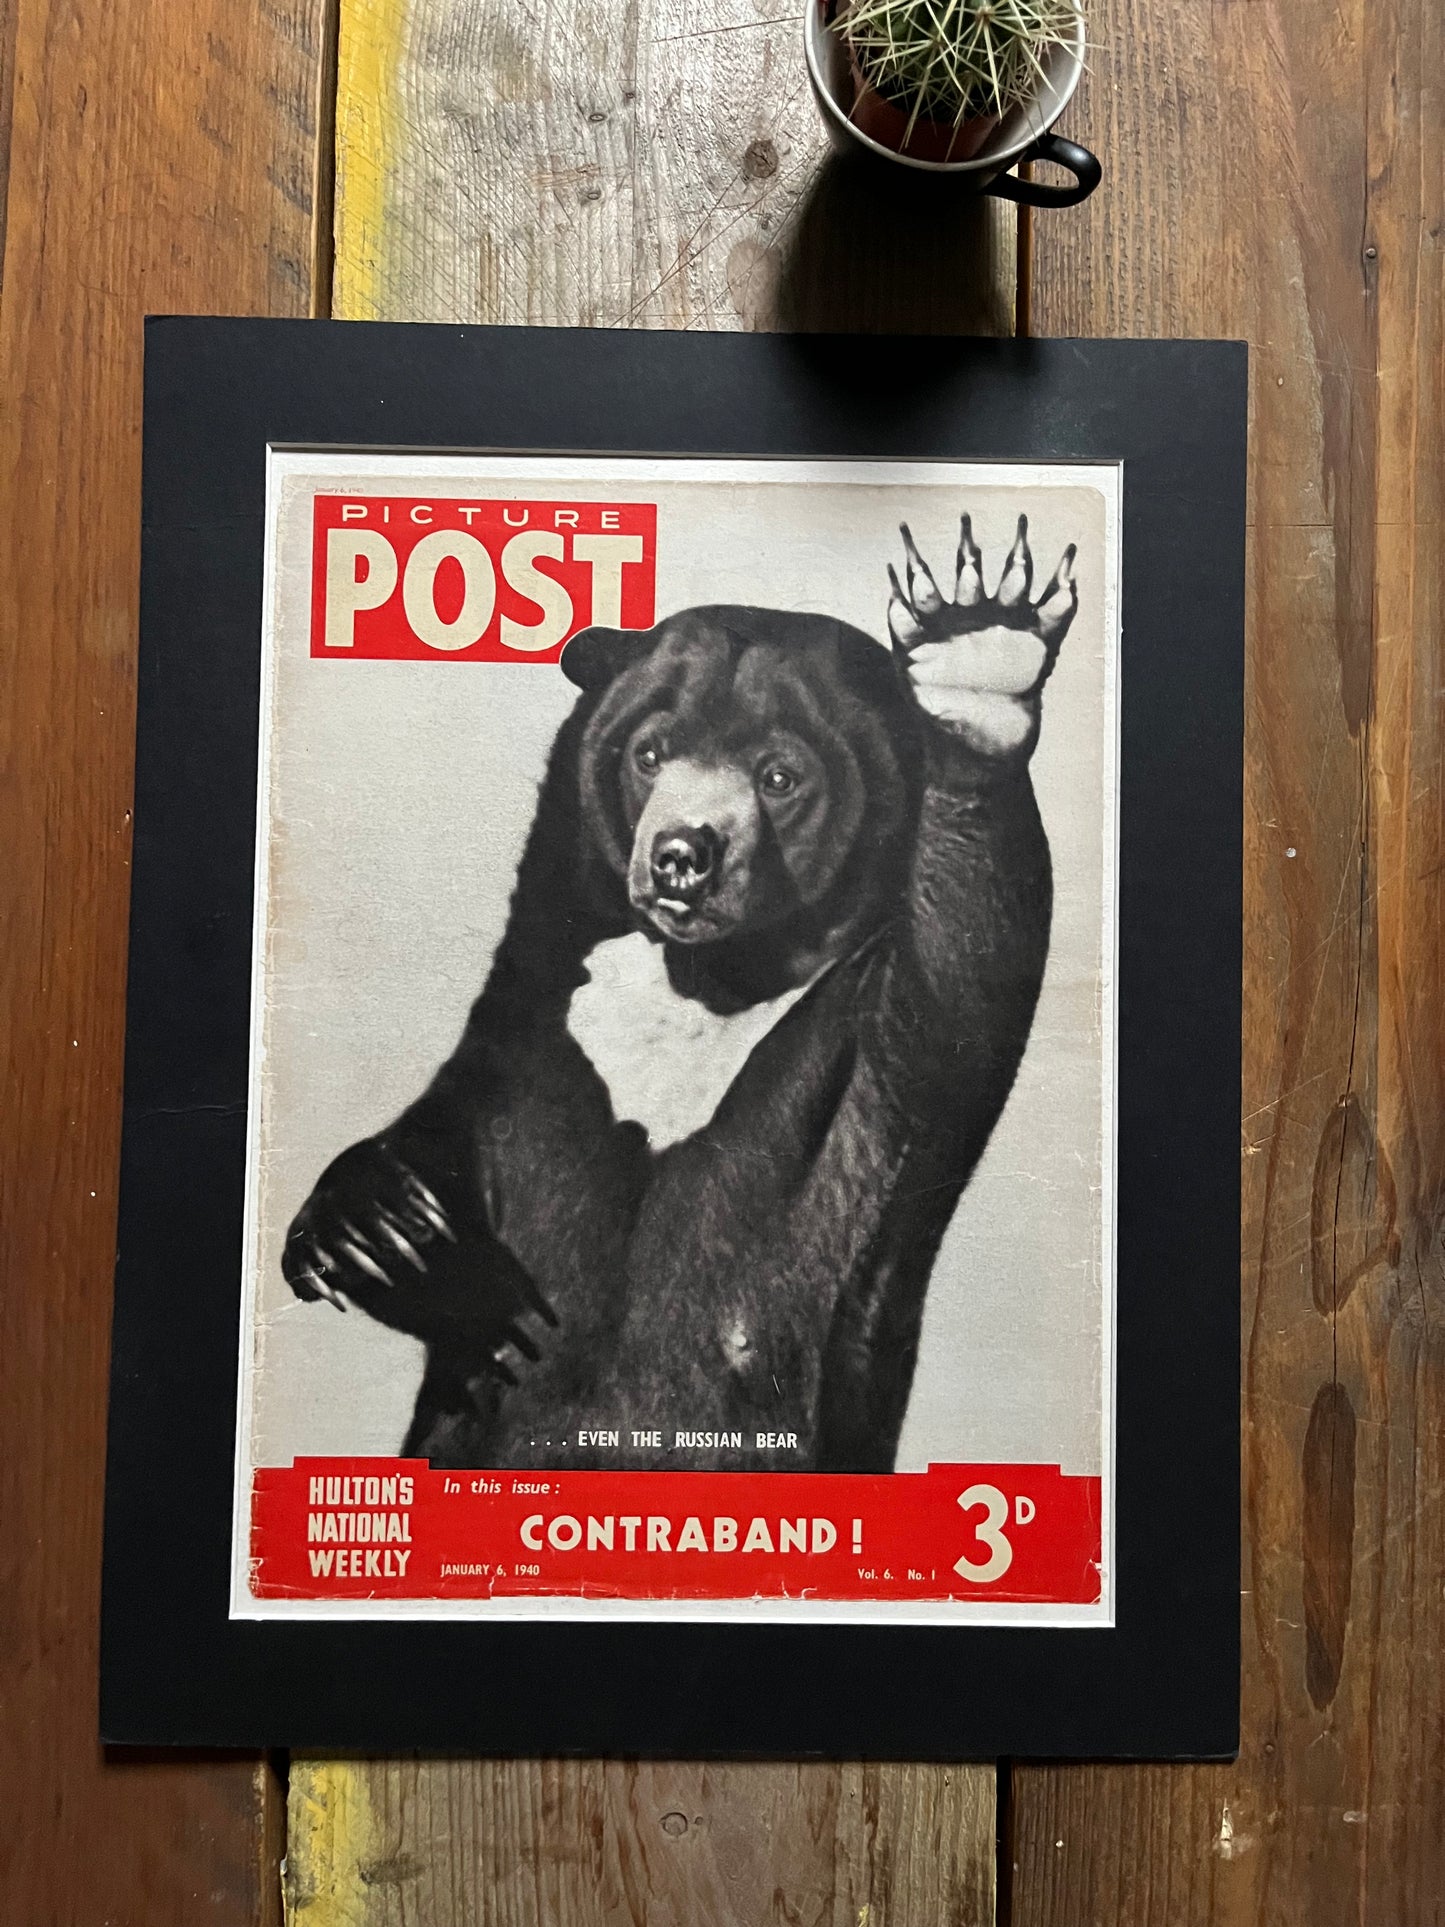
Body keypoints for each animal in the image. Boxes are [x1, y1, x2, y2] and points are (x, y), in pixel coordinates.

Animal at [281, 514, 1078, 1473]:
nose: (679, 855)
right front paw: (382, 1233)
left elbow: (964, 958)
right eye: (649, 751)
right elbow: (452, 1116)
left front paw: (975, 655)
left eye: (779, 776)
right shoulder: (538, 1008)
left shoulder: (872, 1057)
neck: (702, 981)